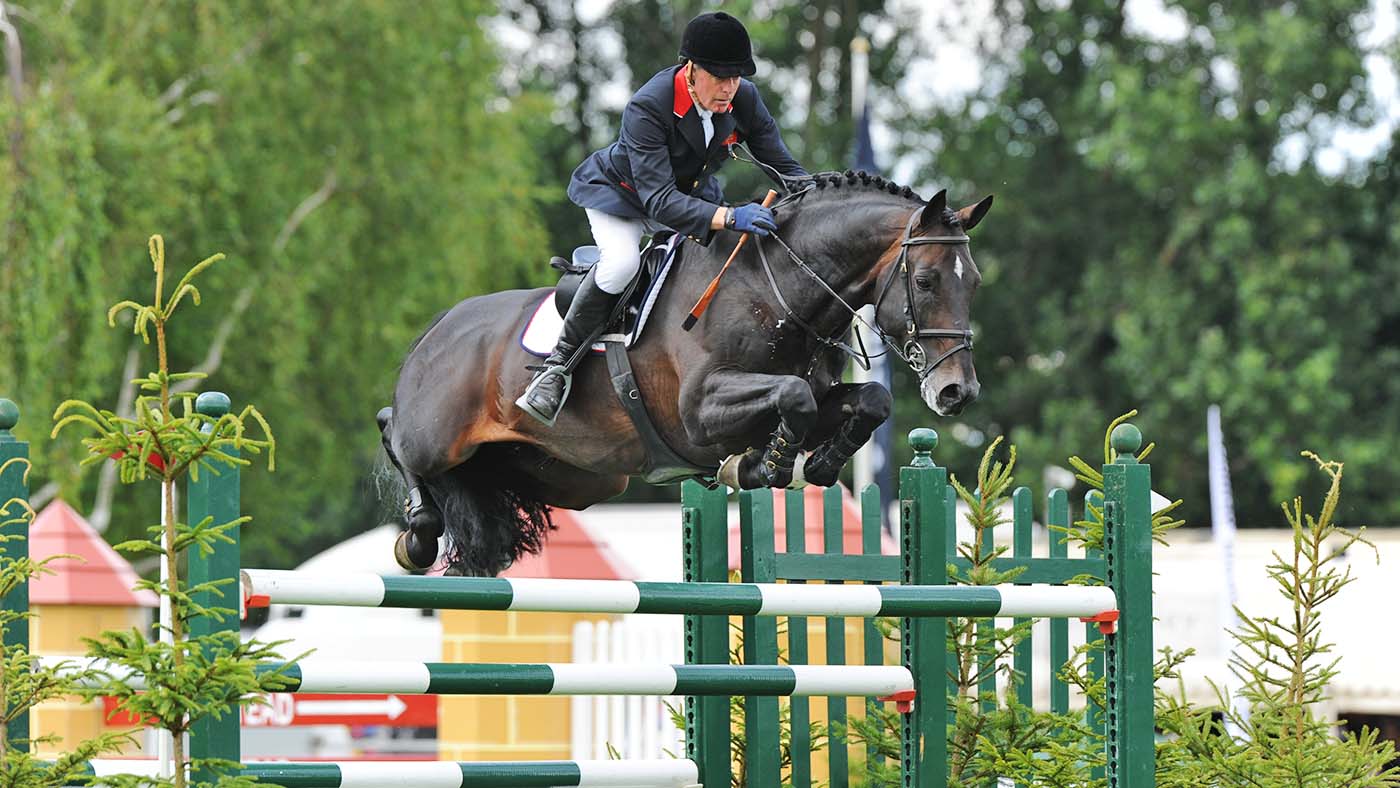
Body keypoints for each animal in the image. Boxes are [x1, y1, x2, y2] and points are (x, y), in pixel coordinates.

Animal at [378, 171, 992, 576]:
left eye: (976, 283)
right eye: (927, 281)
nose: (956, 393)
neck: (775, 289)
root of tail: (437, 328)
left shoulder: (815, 397)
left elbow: (865, 402)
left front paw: (817, 463)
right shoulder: (700, 411)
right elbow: (793, 396)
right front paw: (765, 464)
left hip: (575, 477)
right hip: (436, 437)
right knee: (395, 433)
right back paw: (418, 532)